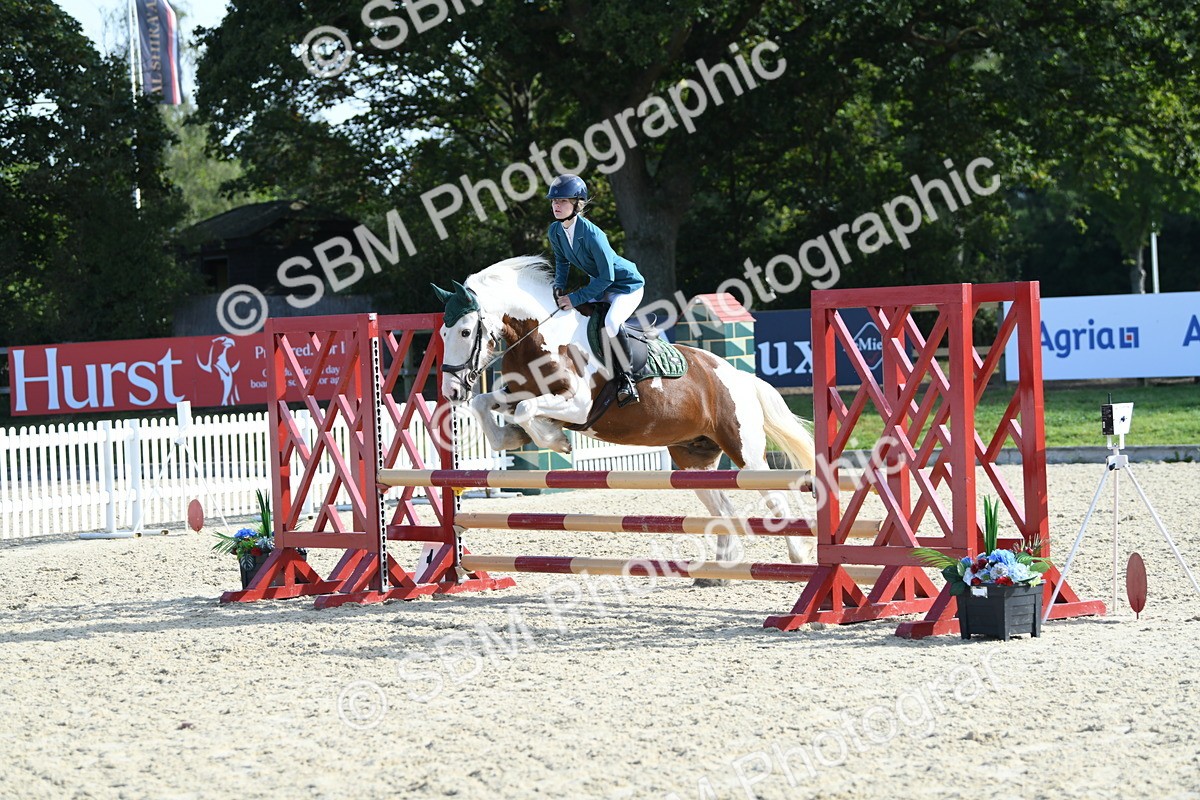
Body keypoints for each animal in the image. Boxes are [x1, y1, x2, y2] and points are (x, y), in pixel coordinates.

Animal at [434, 255, 818, 573]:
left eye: (465, 331)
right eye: (442, 333)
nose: (451, 391)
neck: (540, 336)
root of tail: (740, 376)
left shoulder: (578, 405)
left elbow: (528, 411)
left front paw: (555, 440)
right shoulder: (519, 393)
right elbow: (485, 403)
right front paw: (512, 437)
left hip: (745, 452)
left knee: (777, 499)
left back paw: (798, 555)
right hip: (692, 460)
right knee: (722, 506)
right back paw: (722, 568)